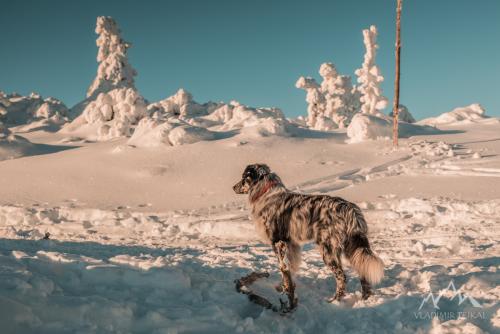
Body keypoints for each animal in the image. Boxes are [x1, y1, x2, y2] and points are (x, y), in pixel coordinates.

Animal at [233, 163, 382, 302]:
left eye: (244, 177)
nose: (233, 187)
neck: (265, 192)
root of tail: (350, 209)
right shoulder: (291, 244)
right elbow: (289, 270)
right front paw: (284, 288)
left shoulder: (278, 242)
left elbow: (283, 268)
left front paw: (285, 291)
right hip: (352, 248)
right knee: (363, 273)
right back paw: (364, 299)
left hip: (328, 250)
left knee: (342, 277)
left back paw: (335, 300)